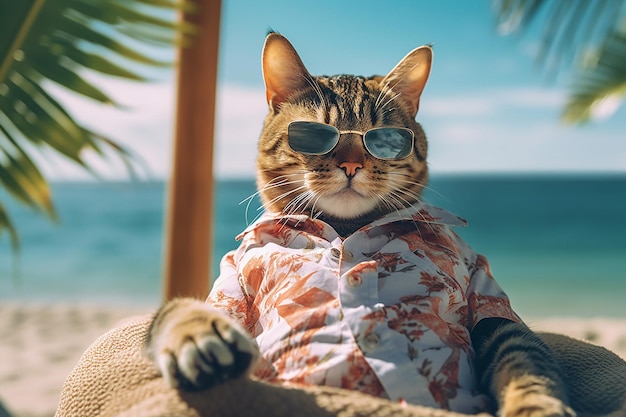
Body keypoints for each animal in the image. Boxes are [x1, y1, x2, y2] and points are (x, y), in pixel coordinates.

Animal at [144, 33, 572, 416]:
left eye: (384, 139)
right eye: (314, 134)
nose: (351, 164)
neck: (347, 229)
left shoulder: (488, 304)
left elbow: (524, 363)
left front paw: (538, 408)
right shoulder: (230, 279)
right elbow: (180, 307)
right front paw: (198, 336)